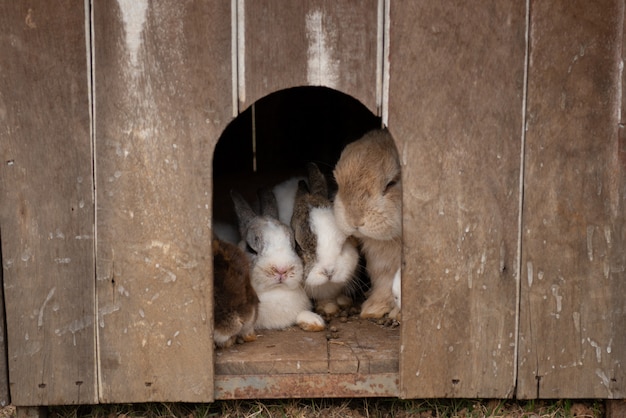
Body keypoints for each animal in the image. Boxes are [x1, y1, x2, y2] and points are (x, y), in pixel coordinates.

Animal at [332, 129, 400, 318]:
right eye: (338, 182)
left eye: (392, 183)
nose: (355, 220)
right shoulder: (381, 264)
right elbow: (385, 283)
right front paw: (374, 309)